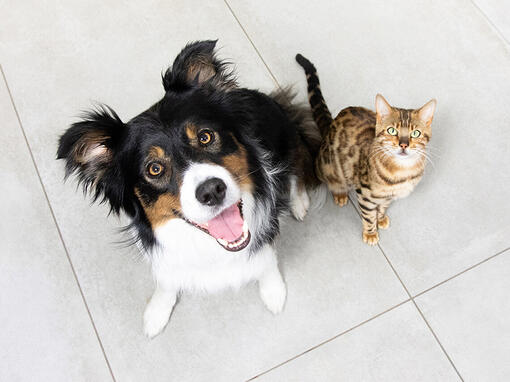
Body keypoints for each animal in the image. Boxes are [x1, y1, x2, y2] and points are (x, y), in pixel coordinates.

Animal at [55, 39, 318, 338]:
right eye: (154, 169)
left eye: (205, 136)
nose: (212, 191)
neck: (211, 247)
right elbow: (166, 280)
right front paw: (156, 312)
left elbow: (265, 260)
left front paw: (273, 291)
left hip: (286, 134)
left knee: (298, 163)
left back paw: (299, 202)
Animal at [296, 53, 436, 245]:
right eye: (392, 130)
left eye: (415, 133)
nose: (403, 144)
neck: (402, 173)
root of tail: (330, 125)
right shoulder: (365, 194)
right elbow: (369, 216)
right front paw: (370, 233)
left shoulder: (388, 196)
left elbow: (383, 207)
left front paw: (381, 218)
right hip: (328, 167)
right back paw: (340, 194)